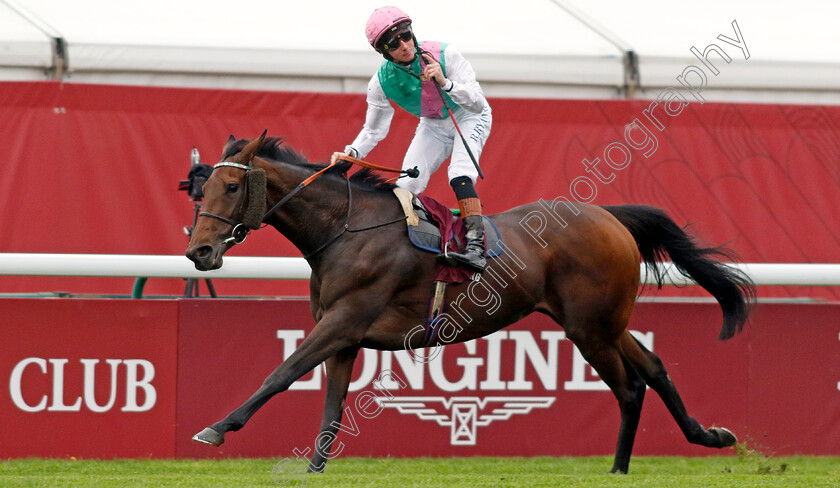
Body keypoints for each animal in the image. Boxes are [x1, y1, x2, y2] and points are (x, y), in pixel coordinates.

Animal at [184, 132, 756, 472]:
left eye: (232, 185)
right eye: (200, 189)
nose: (198, 252)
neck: (345, 229)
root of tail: (610, 217)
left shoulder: (345, 321)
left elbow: (281, 374)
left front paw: (216, 429)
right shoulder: (343, 335)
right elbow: (332, 404)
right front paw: (314, 468)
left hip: (590, 328)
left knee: (631, 385)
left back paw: (620, 468)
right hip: (603, 322)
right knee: (654, 367)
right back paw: (706, 437)